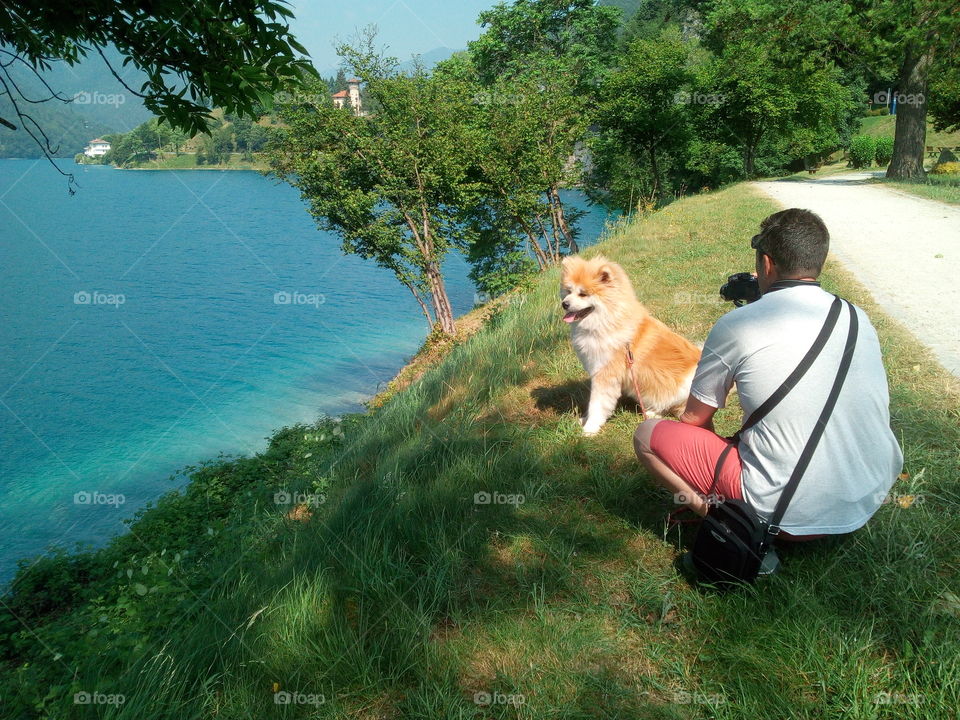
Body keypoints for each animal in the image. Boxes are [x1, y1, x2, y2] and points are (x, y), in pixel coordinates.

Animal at [560, 255, 700, 434]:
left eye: (583, 294)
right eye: (568, 291)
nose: (564, 304)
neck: (607, 321)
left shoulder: (605, 374)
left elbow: (597, 404)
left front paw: (590, 428)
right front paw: (584, 420)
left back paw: (653, 412)